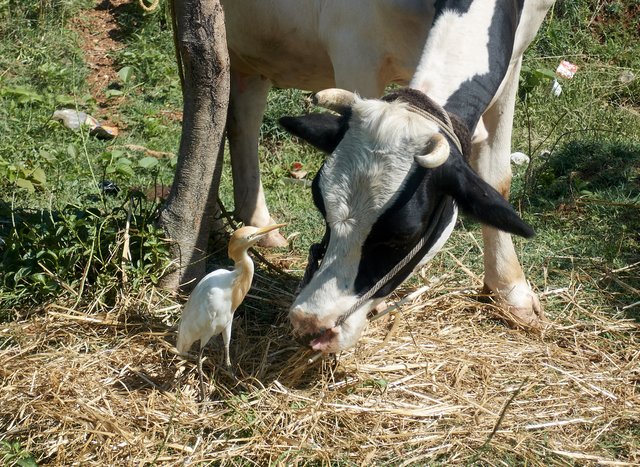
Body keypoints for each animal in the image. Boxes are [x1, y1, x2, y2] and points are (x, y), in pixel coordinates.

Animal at [221, 0, 556, 352]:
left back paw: (259, 226)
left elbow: (497, 179)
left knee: (243, 115)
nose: (311, 321)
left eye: (403, 235)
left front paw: (511, 293)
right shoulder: (353, 47)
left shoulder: (516, 53)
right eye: (322, 208)